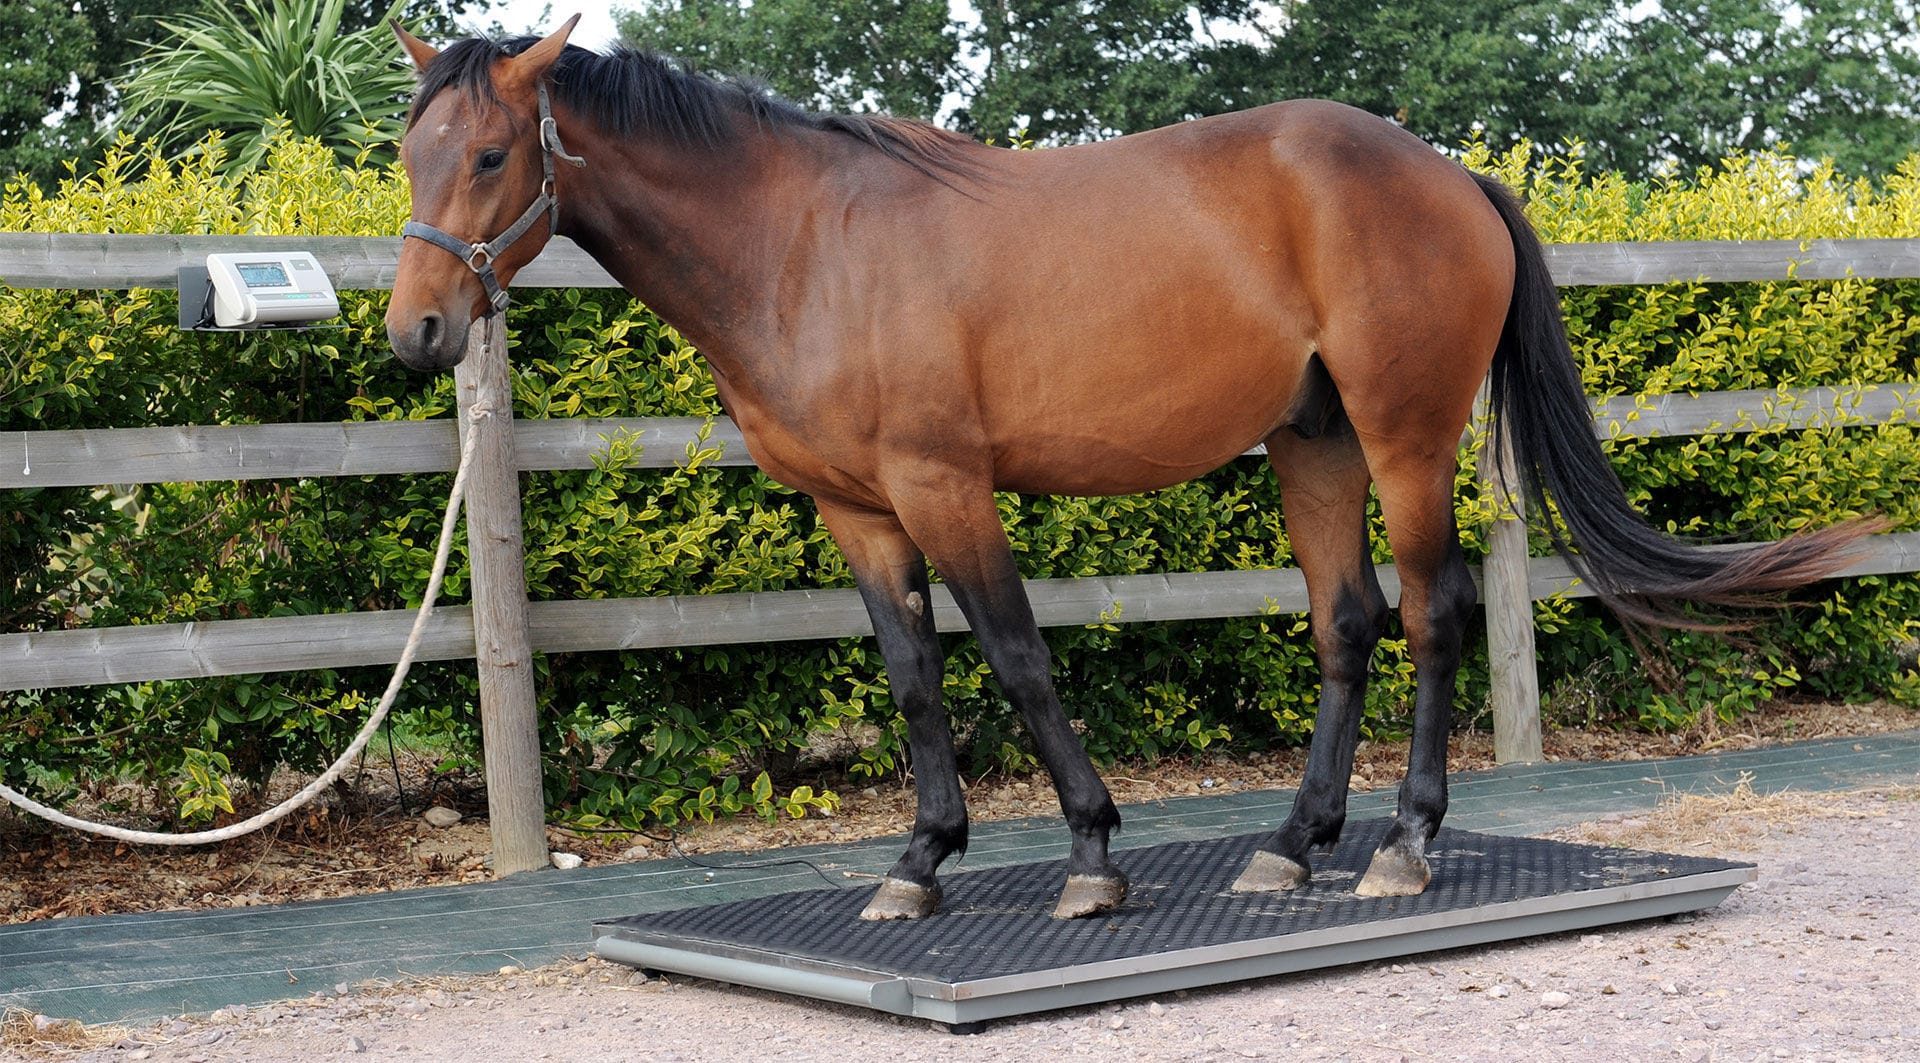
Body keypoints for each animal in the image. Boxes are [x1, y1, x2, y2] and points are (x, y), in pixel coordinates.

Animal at [384, 17, 1871, 920]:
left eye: (494, 152)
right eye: (405, 151)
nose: (417, 333)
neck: (804, 241)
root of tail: (1449, 175)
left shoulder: (945, 485)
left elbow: (1018, 657)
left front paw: (1091, 855)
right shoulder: (858, 510)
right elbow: (914, 676)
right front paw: (919, 862)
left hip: (1404, 438)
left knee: (1435, 614)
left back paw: (1402, 846)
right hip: (1314, 443)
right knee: (1347, 623)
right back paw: (1291, 843)